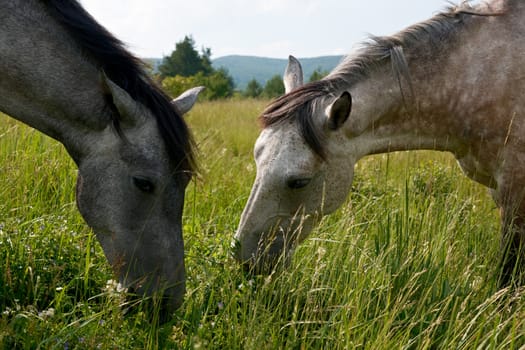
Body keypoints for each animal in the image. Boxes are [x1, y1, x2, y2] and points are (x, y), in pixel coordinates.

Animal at [235, 0, 524, 286]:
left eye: (299, 182)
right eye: (257, 161)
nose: (244, 258)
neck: (476, 77)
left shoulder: (514, 190)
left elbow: (509, 272)